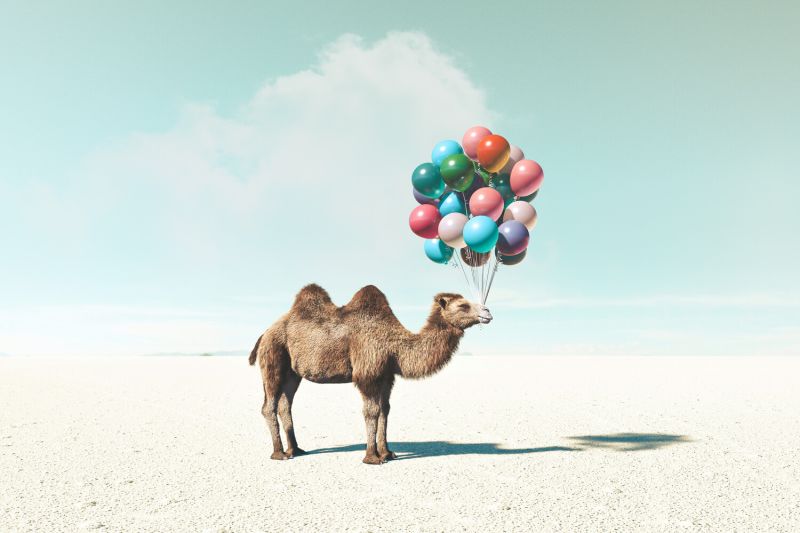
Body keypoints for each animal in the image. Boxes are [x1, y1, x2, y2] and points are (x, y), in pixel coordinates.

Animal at [248, 284, 492, 464]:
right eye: (463, 305)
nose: (487, 312)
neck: (395, 346)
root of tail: (264, 332)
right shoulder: (367, 372)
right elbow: (372, 412)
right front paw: (372, 457)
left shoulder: (386, 376)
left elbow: (385, 410)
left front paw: (388, 453)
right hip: (274, 354)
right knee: (269, 404)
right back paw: (279, 453)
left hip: (293, 372)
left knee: (285, 403)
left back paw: (296, 450)